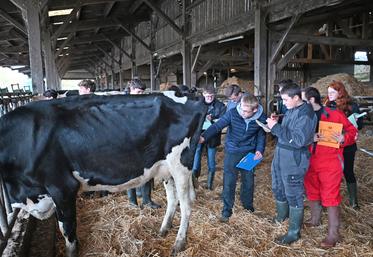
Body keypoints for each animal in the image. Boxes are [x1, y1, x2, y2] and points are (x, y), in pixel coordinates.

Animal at [0, 92, 206, 256]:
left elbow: (67, 227)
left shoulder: (62, 186)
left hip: (180, 164)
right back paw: (164, 229)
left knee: (186, 204)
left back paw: (179, 243)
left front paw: (72, 252)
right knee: (173, 199)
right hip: (166, 168)